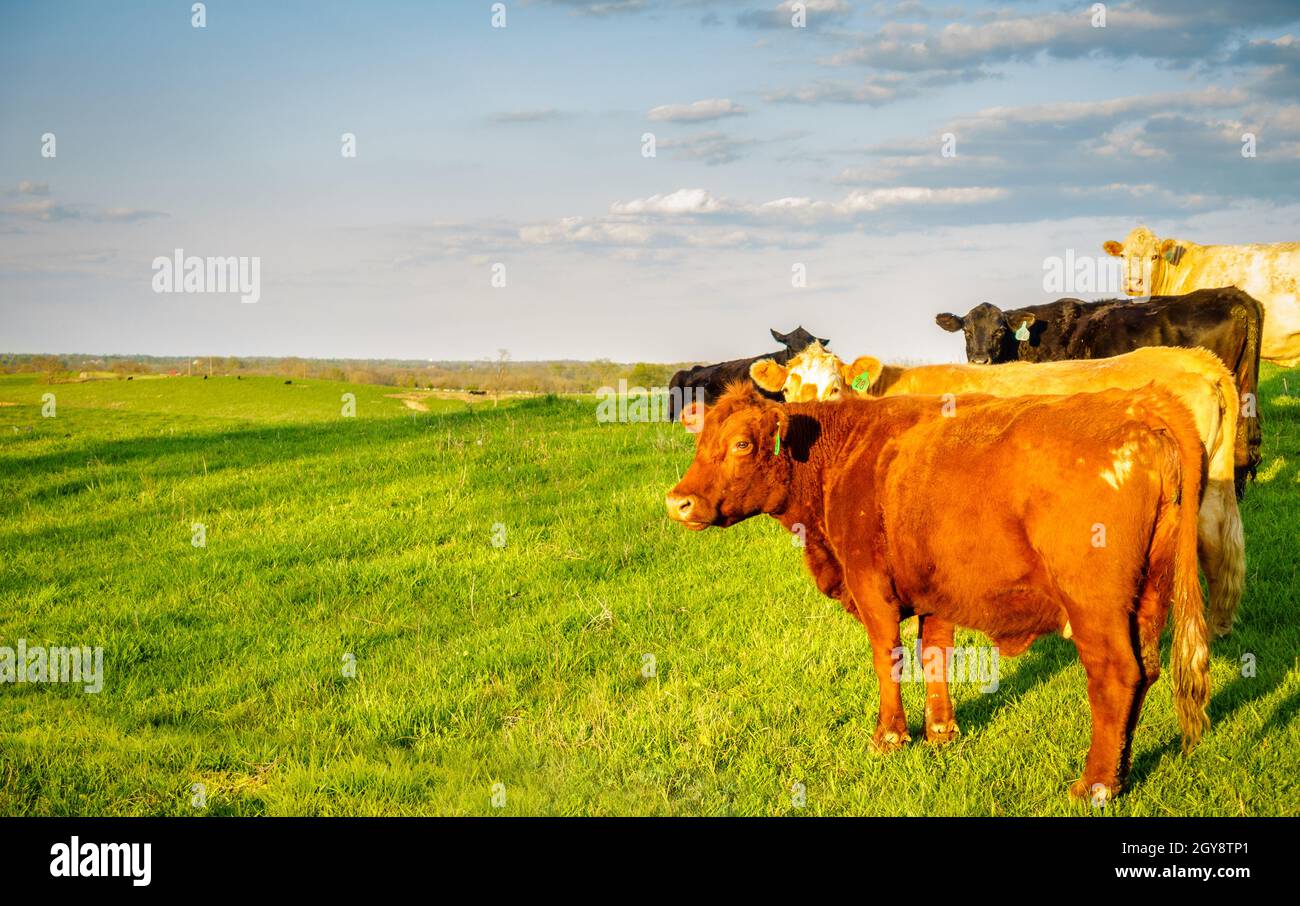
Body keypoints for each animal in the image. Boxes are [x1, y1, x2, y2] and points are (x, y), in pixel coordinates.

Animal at [665, 382, 1211, 800]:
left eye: (741, 444)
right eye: (699, 442)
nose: (678, 502)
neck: (844, 452)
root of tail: (1138, 406)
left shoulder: (870, 585)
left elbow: (887, 657)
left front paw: (889, 736)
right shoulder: (937, 592)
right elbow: (935, 655)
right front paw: (941, 732)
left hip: (1095, 604)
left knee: (1116, 675)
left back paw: (1094, 786)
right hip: (1149, 595)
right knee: (1146, 672)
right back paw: (1119, 774)